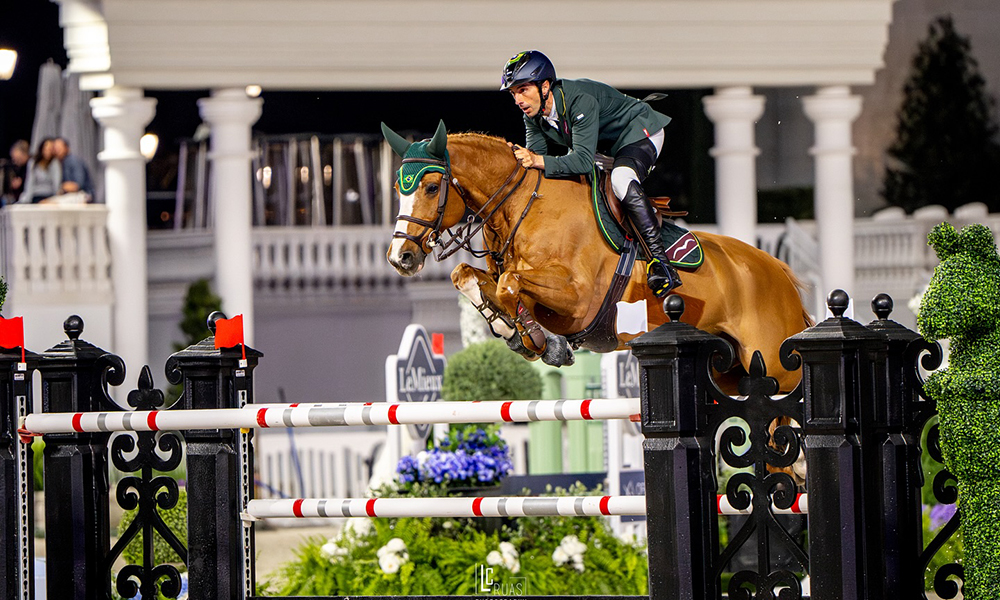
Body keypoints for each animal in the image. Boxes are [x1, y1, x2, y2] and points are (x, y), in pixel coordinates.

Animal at [382, 122, 812, 394]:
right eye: (398, 189)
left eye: (432, 187)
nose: (400, 257)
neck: (522, 207)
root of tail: (779, 271)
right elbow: (468, 275)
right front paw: (515, 331)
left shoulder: (578, 298)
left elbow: (509, 284)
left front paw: (539, 340)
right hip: (729, 372)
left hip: (775, 365)